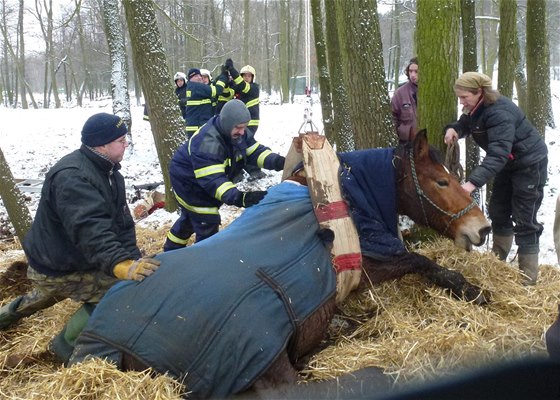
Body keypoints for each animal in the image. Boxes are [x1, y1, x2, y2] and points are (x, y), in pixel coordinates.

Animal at [69, 130, 490, 396]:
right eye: (440, 182)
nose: (482, 228)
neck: (349, 199)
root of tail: (102, 347)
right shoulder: (367, 265)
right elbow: (420, 260)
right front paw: (472, 290)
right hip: (263, 355)